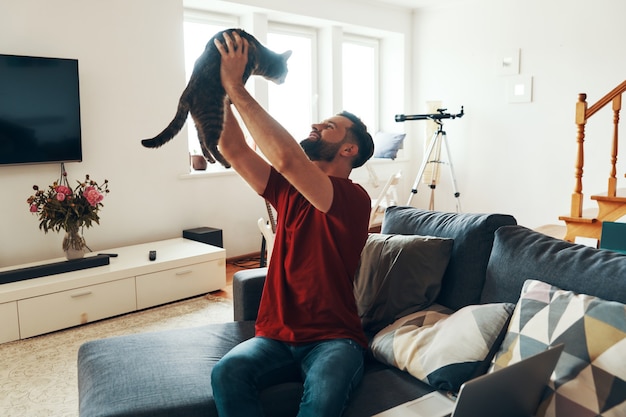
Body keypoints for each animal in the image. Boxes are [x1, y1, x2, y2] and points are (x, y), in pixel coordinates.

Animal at [140, 27, 292, 168]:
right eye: (286, 71)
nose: (285, 81)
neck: (261, 56)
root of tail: (186, 92)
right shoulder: (246, 70)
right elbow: (241, 82)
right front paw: (231, 100)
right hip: (214, 115)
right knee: (209, 142)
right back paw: (224, 162)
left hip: (200, 120)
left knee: (202, 140)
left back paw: (210, 159)